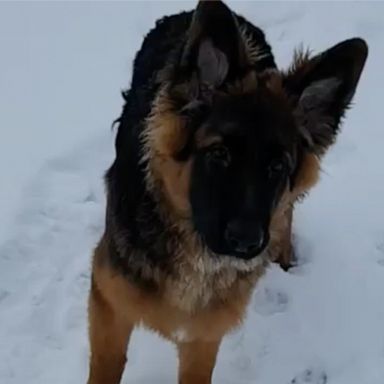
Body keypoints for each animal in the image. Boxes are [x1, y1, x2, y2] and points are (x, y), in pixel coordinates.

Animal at [85, 1, 368, 382]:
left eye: (278, 167)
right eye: (219, 154)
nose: (247, 243)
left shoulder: (204, 333)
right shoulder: (109, 302)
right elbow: (107, 364)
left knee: (289, 212)